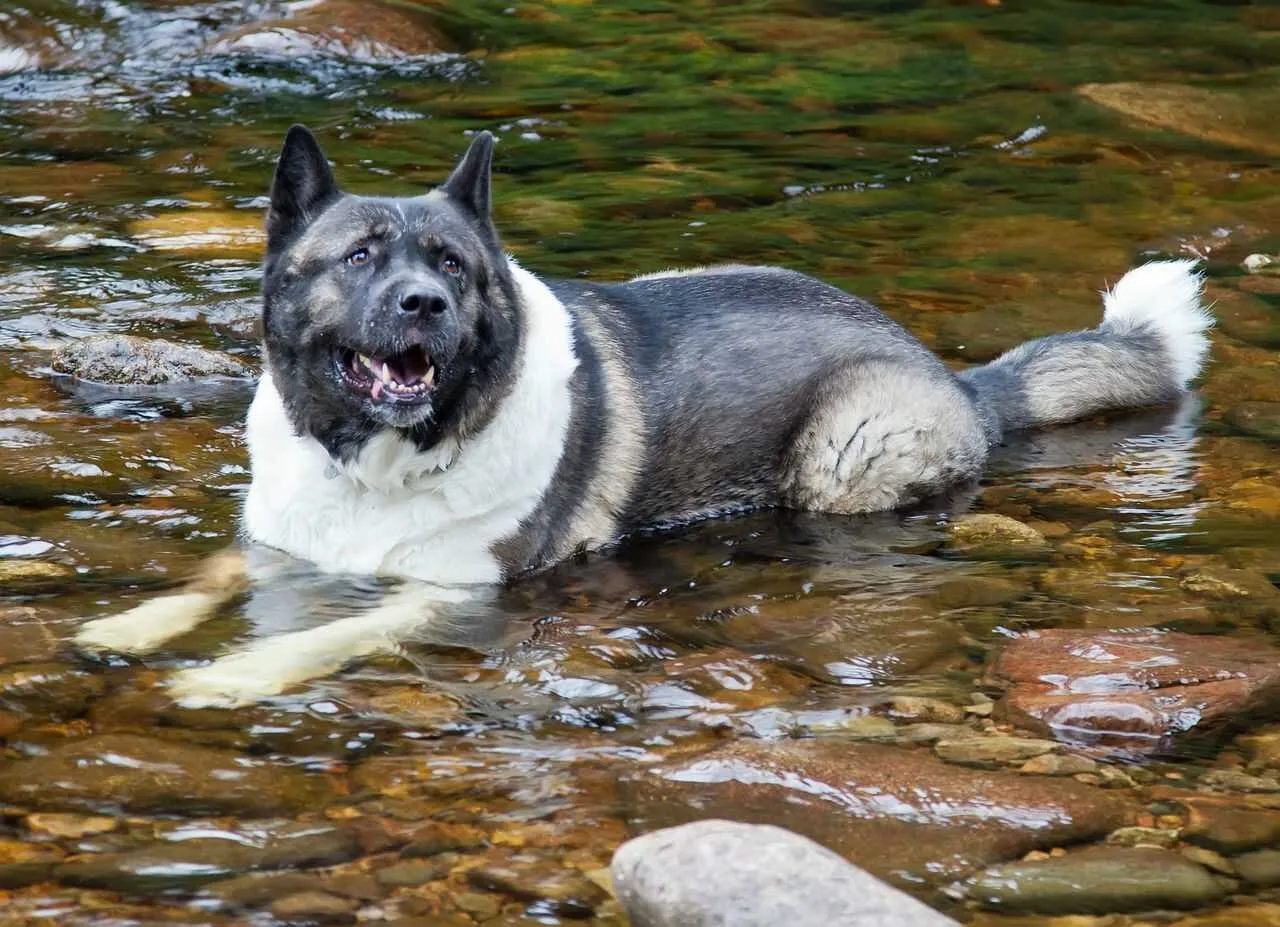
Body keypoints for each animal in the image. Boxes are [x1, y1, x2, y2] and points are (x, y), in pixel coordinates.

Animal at [74, 122, 1213, 701]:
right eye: (358, 257)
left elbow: (331, 634)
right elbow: (206, 576)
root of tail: (954, 374)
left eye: (451, 264)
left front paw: (227, 679)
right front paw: (123, 628)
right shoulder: (275, 541)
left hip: (843, 452)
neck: (374, 461)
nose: (424, 305)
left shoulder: (453, 591)